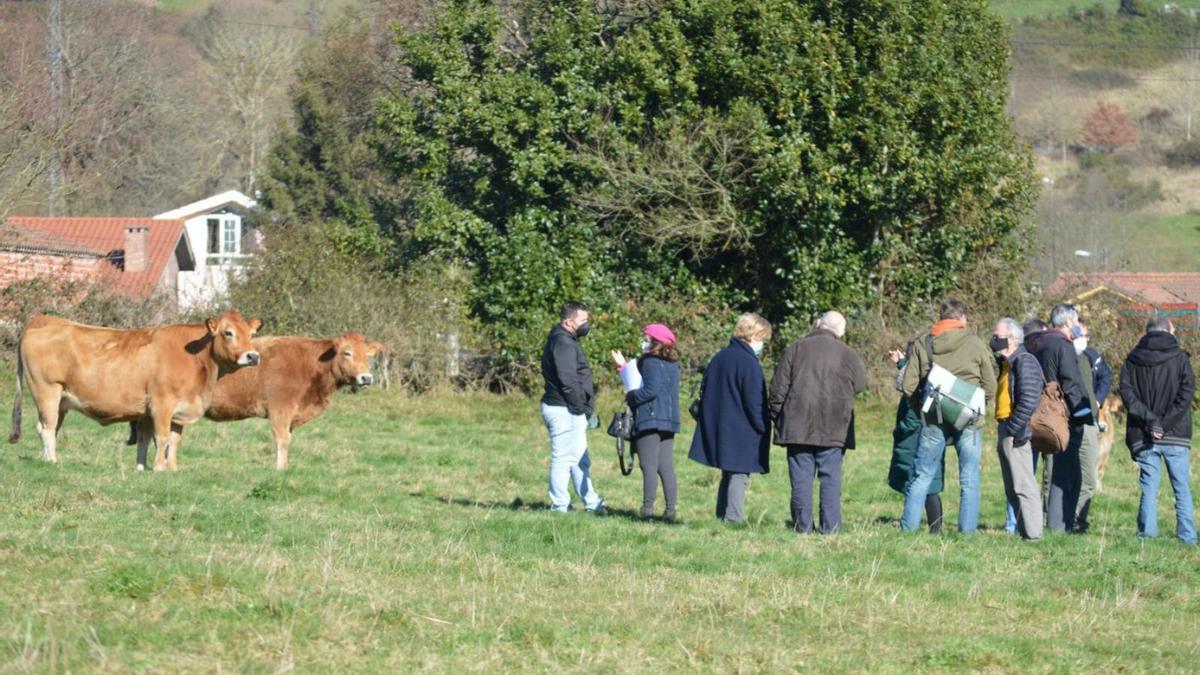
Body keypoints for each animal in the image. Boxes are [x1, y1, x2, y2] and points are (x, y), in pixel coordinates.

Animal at [9, 309, 260, 468]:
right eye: (228, 333)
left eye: (251, 334)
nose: (253, 356)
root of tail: (43, 321)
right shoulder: (161, 404)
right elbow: (161, 437)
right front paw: (159, 468)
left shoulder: (173, 409)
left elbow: (162, 440)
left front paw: (166, 468)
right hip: (46, 393)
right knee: (46, 428)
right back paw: (52, 462)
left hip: (61, 401)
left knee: (50, 429)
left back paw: (45, 459)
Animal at [199, 331, 381, 468]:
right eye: (347, 353)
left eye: (367, 356)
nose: (366, 377)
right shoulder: (280, 409)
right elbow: (283, 439)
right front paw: (280, 469)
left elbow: (288, 438)